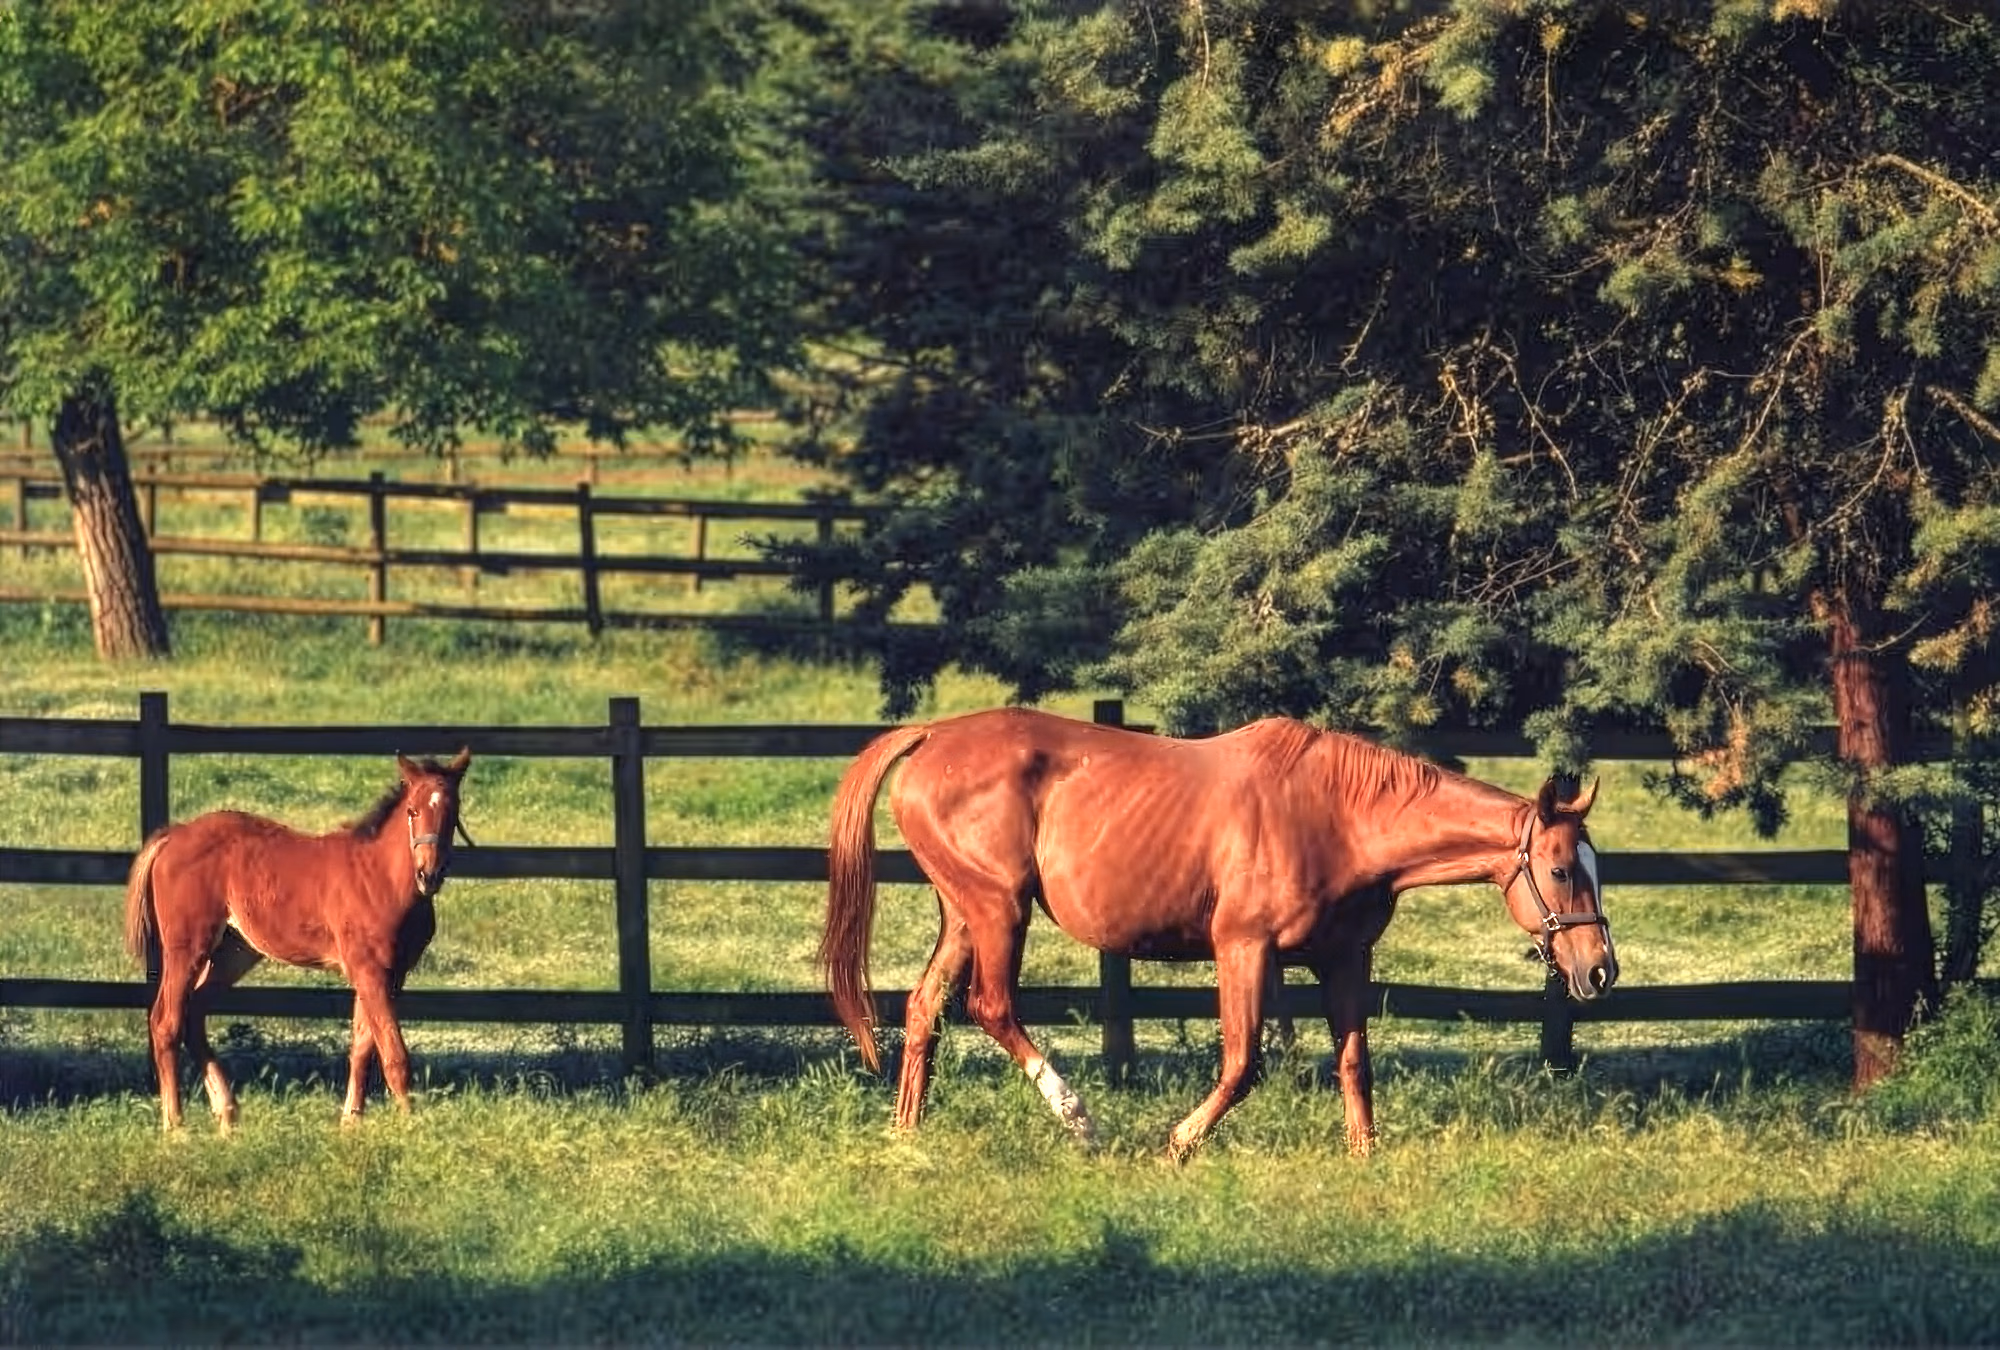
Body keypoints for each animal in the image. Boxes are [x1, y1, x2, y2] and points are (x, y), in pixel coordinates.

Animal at [123, 749, 473, 1132]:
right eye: (412, 810)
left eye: (453, 812)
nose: (429, 874)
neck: (381, 877)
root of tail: (174, 836)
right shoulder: (368, 971)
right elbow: (394, 1054)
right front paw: (409, 1125)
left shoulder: (391, 975)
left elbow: (362, 1045)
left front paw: (350, 1123)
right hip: (187, 947)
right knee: (166, 1022)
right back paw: (176, 1126)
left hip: (234, 951)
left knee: (195, 1012)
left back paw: (227, 1114)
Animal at [818, 708, 1612, 1160]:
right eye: (1561, 869)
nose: (1601, 970)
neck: (1339, 818)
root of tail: (932, 737)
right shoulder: (1243, 949)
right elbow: (1241, 1064)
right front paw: (1179, 1143)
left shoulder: (1344, 961)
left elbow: (1354, 1062)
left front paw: (1365, 1154)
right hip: (998, 911)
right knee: (991, 1007)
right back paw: (1081, 1123)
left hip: (963, 913)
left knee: (925, 1006)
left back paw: (907, 1134)